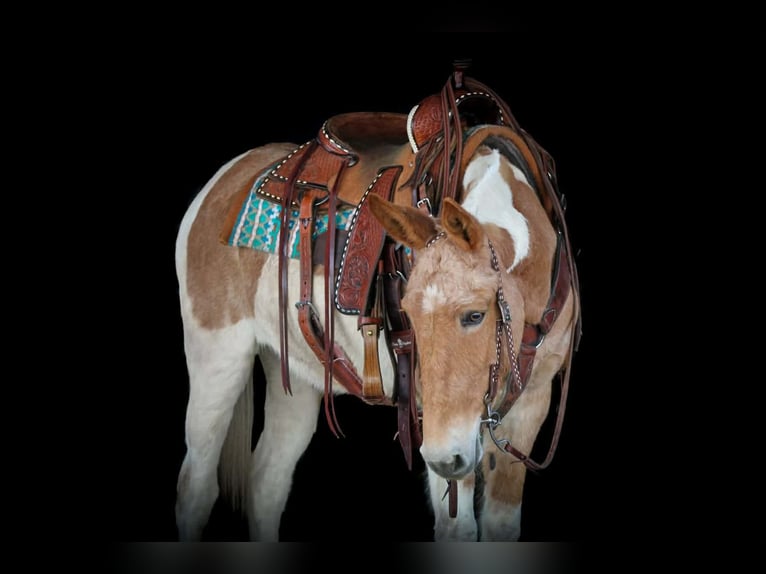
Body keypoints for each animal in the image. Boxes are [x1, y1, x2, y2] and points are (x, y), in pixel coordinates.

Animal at [174, 65, 582, 541]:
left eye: (475, 315)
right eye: (412, 318)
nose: (444, 457)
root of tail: (224, 180)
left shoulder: (530, 406)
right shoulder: (438, 419)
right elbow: (457, 531)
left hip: (295, 376)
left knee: (267, 482)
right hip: (217, 360)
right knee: (197, 488)